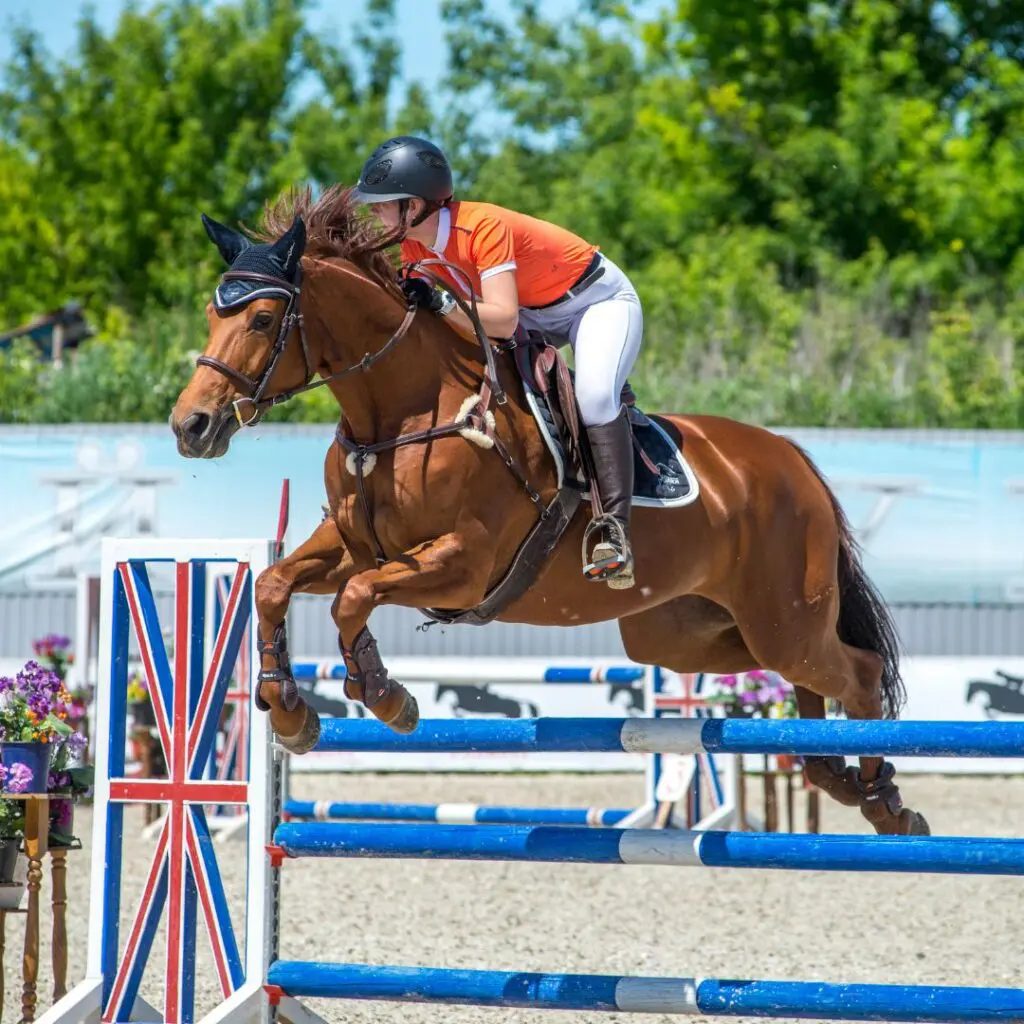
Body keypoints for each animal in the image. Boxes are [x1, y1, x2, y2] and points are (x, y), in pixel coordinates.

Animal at [170, 185, 928, 836]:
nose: (191, 426)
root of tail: (792, 460)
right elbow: (276, 583)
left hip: (782, 618)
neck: (405, 412)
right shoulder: (354, 545)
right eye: (211, 315)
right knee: (797, 684)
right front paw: (288, 708)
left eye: (263, 318)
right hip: (687, 632)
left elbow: (354, 597)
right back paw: (836, 774)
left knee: (855, 672)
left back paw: (884, 800)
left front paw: (385, 694)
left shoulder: (463, 565)